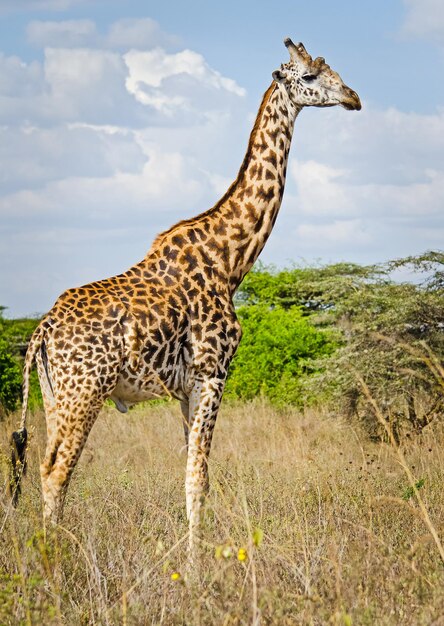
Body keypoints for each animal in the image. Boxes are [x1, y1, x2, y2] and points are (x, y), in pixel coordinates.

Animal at [11, 39, 360, 552]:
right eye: (311, 76)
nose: (354, 98)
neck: (231, 260)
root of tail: (43, 329)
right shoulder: (213, 374)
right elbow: (199, 477)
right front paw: (198, 564)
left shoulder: (184, 388)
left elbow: (192, 473)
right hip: (85, 391)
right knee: (58, 472)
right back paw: (54, 560)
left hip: (54, 394)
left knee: (41, 466)